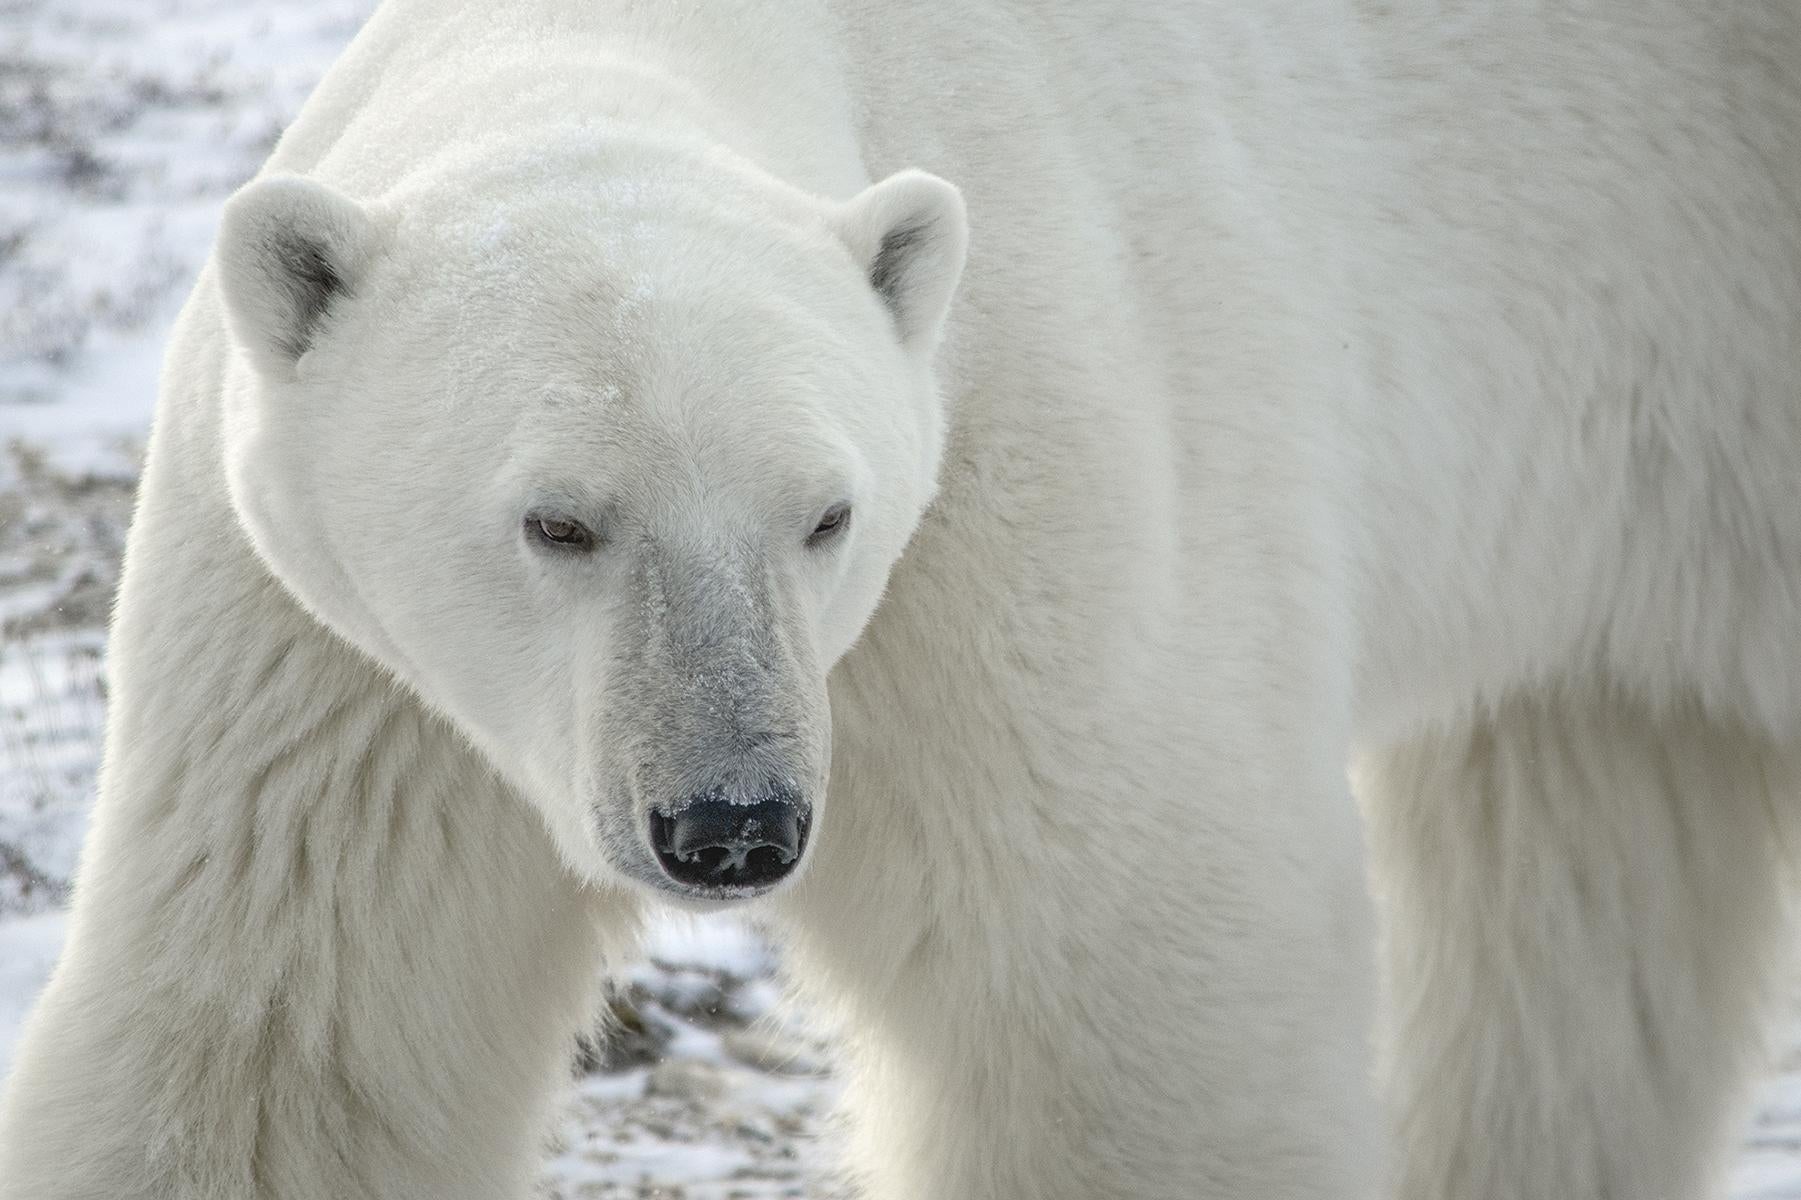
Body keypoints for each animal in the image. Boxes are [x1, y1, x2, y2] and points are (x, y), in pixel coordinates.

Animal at [3, 0, 1800, 1198]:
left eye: (826, 515)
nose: (730, 825)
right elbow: (278, 1047)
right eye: (556, 521)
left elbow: (1126, 992)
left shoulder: (1018, 506)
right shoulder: (336, 676)